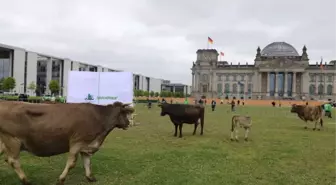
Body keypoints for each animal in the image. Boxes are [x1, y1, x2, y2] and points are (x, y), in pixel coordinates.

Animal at [0, 101, 134, 185]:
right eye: (124, 113)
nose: (128, 124)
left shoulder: (86, 145)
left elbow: (87, 163)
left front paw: (90, 178)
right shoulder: (76, 142)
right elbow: (71, 163)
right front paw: (61, 179)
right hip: (12, 140)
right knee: (13, 161)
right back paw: (26, 180)